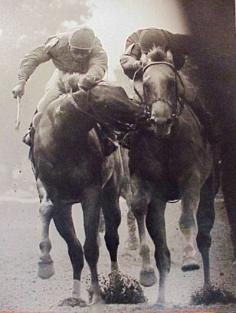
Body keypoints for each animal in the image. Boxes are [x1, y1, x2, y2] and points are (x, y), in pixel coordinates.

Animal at [30, 80, 145, 304]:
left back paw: (115, 281)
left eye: (122, 92)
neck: (64, 136)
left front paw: (98, 293)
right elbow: (73, 248)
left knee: (112, 238)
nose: (143, 113)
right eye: (106, 104)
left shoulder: (91, 193)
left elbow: (91, 247)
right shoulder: (57, 198)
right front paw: (70, 291)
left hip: (111, 193)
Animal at [129, 47, 216, 304]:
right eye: (146, 84)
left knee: (204, 237)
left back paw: (207, 290)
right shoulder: (146, 181)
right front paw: (146, 273)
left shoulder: (192, 177)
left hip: (209, 186)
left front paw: (189, 259)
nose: (161, 120)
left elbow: (187, 219)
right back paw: (160, 300)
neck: (165, 142)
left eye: (171, 82)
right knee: (163, 254)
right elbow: (140, 208)